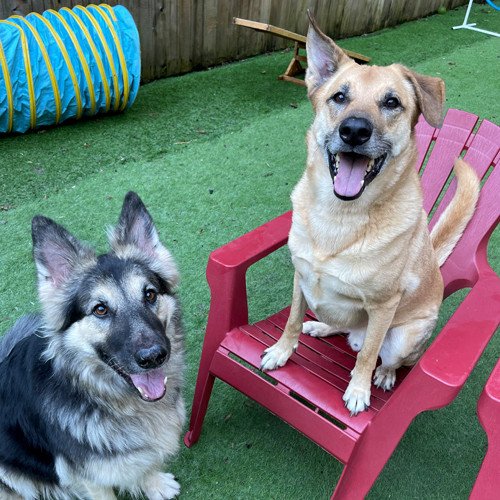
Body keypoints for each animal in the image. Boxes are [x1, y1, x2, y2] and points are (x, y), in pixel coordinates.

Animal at [260, 13, 478, 416]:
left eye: (392, 102)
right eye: (339, 97)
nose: (354, 131)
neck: (338, 217)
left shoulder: (383, 305)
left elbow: (367, 356)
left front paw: (359, 391)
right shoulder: (301, 276)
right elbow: (292, 321)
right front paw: (283, 351)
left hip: (404, 336)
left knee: (383, 355)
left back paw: (386, 375)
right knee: (342, 327)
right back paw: (322, 328)